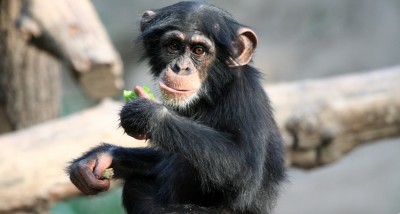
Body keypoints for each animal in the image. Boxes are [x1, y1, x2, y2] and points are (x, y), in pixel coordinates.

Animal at [69, 1, 288, 214]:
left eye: (199, 50)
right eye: (174, 46)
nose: (181, 67)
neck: (214, 89)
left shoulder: (244, 97)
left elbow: (244, 168)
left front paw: (147, 114)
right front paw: (100, 157)